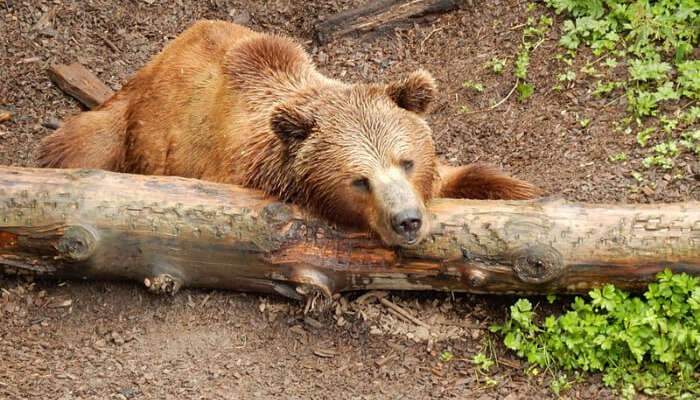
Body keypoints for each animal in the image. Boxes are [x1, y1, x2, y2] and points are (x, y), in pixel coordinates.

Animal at [38, 21, 540, 248]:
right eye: (359, 180)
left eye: (407, 161)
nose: (407, 221)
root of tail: (146, 72)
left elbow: (475, 177)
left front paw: (522, 195)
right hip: (146, 136)